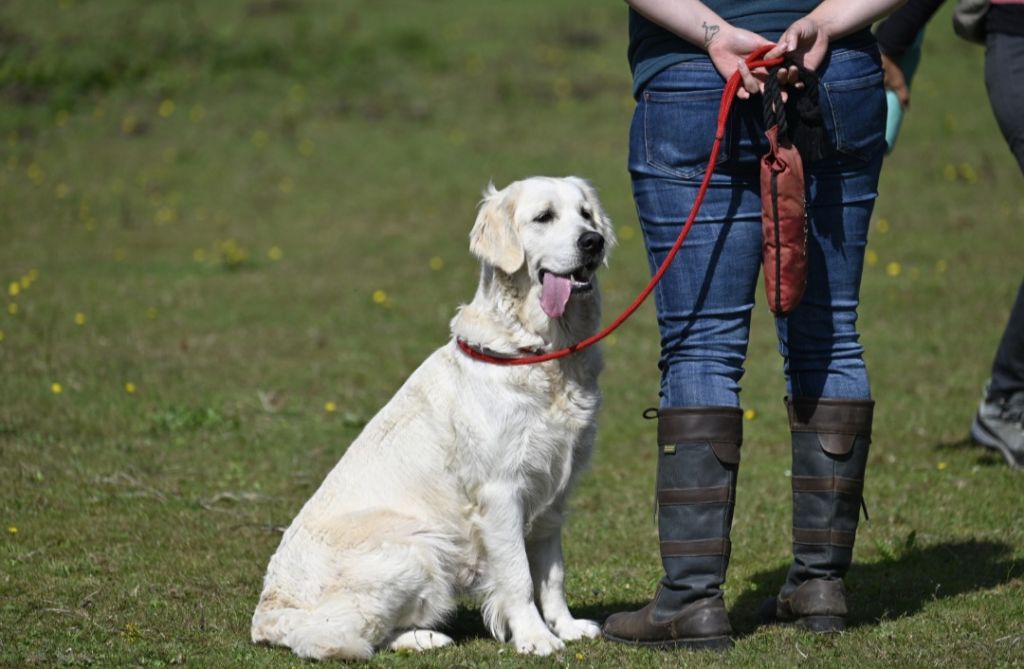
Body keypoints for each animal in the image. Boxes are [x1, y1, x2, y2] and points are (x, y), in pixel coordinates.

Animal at [249, 176, 614, 655]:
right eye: (544, 217)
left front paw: (566, 627)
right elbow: (518, 576)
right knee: (339, 636)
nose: (593, 242)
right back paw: (425, 636)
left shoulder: (554, 492)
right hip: (417, 546)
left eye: (586, 215)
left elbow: (552, 575)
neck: (544, 351)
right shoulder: (501, 492)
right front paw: (535, 638)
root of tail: (265, 616)